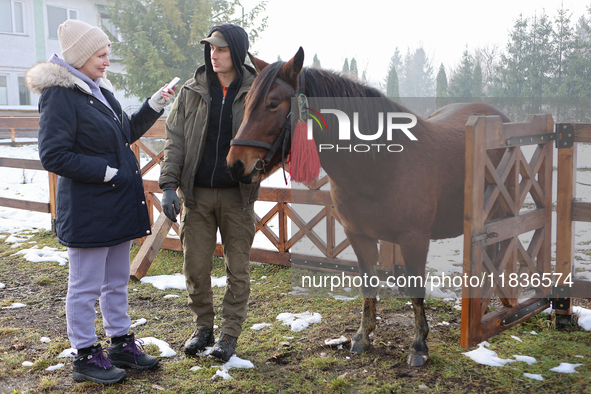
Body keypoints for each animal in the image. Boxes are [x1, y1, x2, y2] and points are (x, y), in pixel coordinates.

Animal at [227, 48, 508, 366]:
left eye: (273, 104)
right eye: (247, 102)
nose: (235, 164)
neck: (381, 163)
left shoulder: (415, 240)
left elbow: (416, 291)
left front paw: (419, 345)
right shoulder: (358, 235)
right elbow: (368, 285)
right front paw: (364, 336)